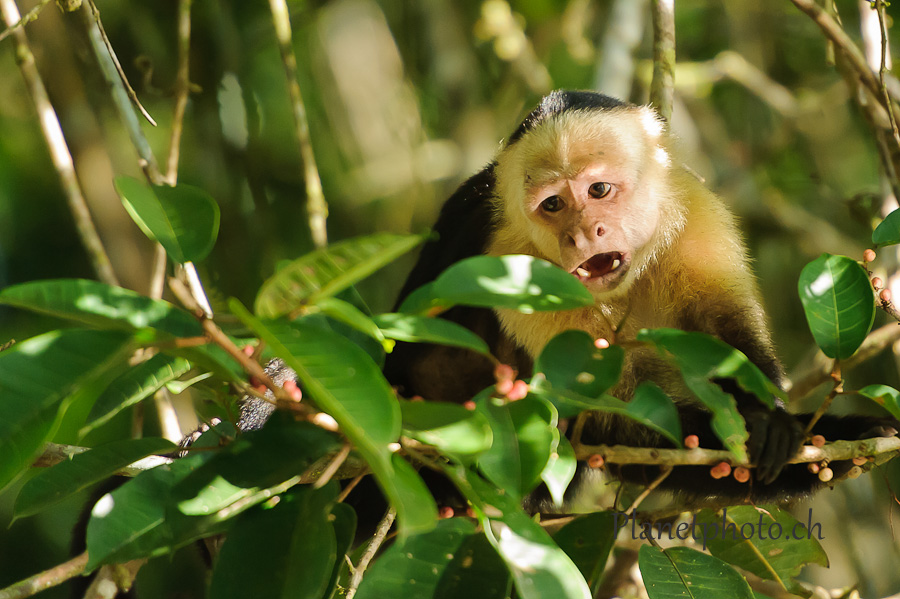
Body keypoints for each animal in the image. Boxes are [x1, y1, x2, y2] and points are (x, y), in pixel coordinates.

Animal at [384, 90, 896, 506]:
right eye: (552, 205)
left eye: (599, 190)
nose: (582, 234)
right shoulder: (510, 264)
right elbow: (610, 420)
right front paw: (790, 441)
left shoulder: (695, 211)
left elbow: (726, 335)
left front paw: (776, 423)